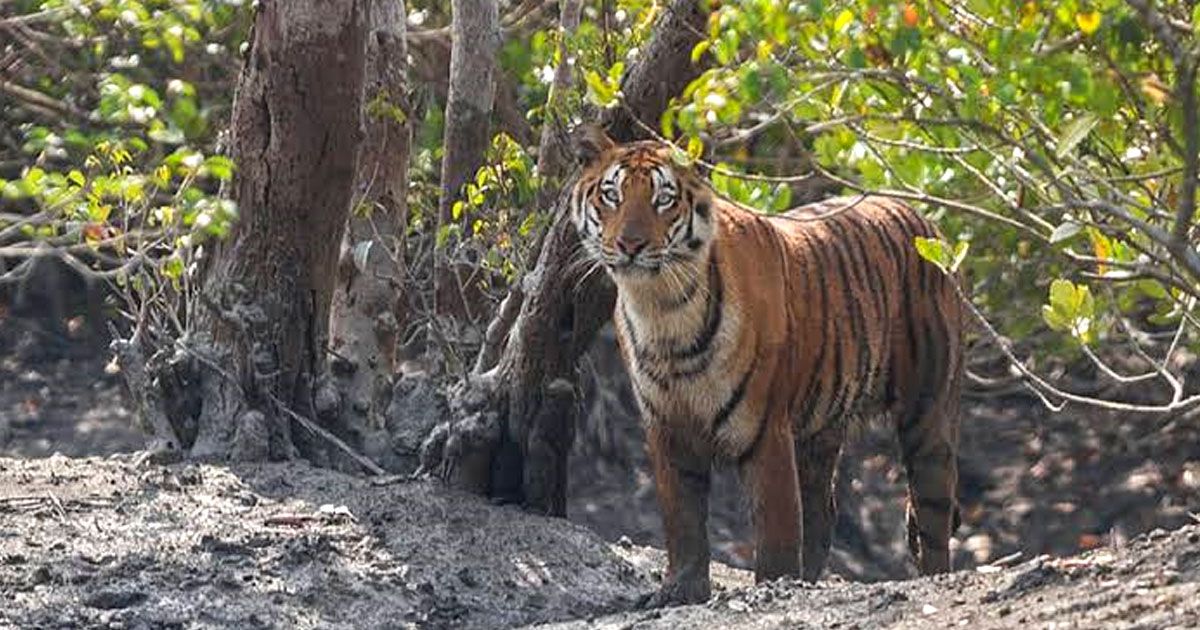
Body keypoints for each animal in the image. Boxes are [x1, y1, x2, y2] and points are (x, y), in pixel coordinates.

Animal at [568, 125, 964, 607]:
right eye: (612, 195)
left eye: (663, 198)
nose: (629, 245)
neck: (662, 309)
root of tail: (924, 219)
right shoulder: (667, 425)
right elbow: (683, 519)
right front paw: (680, 590)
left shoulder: (765, 429)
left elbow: (776, 528)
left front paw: (774, 586)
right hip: (820, 427)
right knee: (823, 510)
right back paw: (809, 579)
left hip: (927, 412)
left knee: (932, 512)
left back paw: (934, 577)